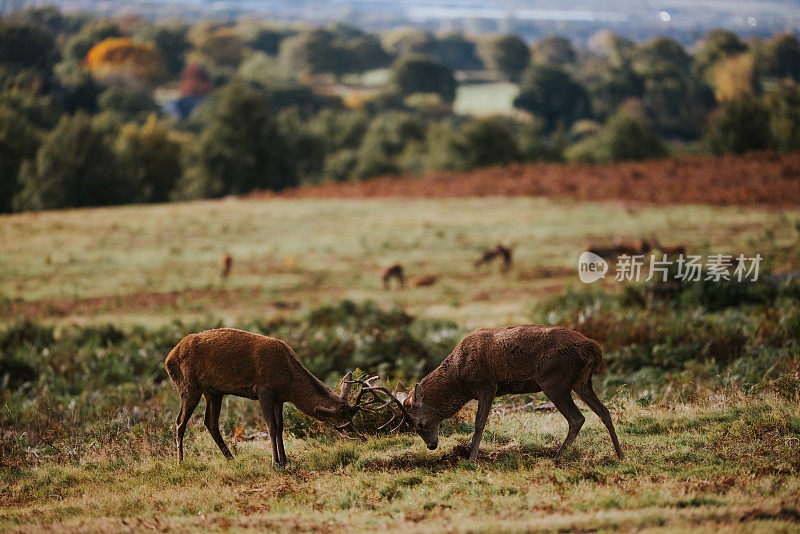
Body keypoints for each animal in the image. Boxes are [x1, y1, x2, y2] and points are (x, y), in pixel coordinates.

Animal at [165, 328, 368, 466]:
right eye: (344, 420)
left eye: (353, 416)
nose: (363, 437)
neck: (288, 381)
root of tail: (168, 359)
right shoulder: (264, 390)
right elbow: (271, 426)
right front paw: (275, 462)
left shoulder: (279, 398)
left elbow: (280, 428)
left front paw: (285, 460)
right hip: (188, 385)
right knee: (180, 421)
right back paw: (180, 461)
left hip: (214, 392)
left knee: (210, 422)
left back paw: (231, 458)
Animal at [394, 326, 624, 464]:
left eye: (419, 424)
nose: (432, 445)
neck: (460, 378)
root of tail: (594, 349)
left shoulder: (487, 385)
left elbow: (479, 423)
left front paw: (471, 458)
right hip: (581, 381)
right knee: (604, 411)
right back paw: (620, 454)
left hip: (554, 382)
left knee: (578, 418)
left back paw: (557, 457)